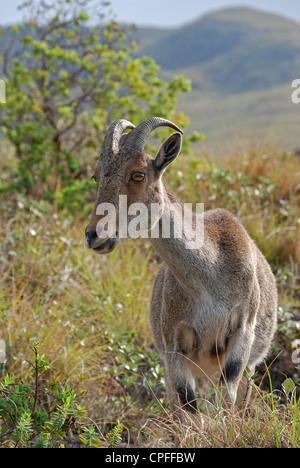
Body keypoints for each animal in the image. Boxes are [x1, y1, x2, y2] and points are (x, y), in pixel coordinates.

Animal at [85, 117, 278, 416]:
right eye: (96, 175)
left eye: (138, 174)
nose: (94, 234)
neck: (209, 279)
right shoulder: (173, 345)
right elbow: (189, 407)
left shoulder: (243, 329)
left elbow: (226, 397)